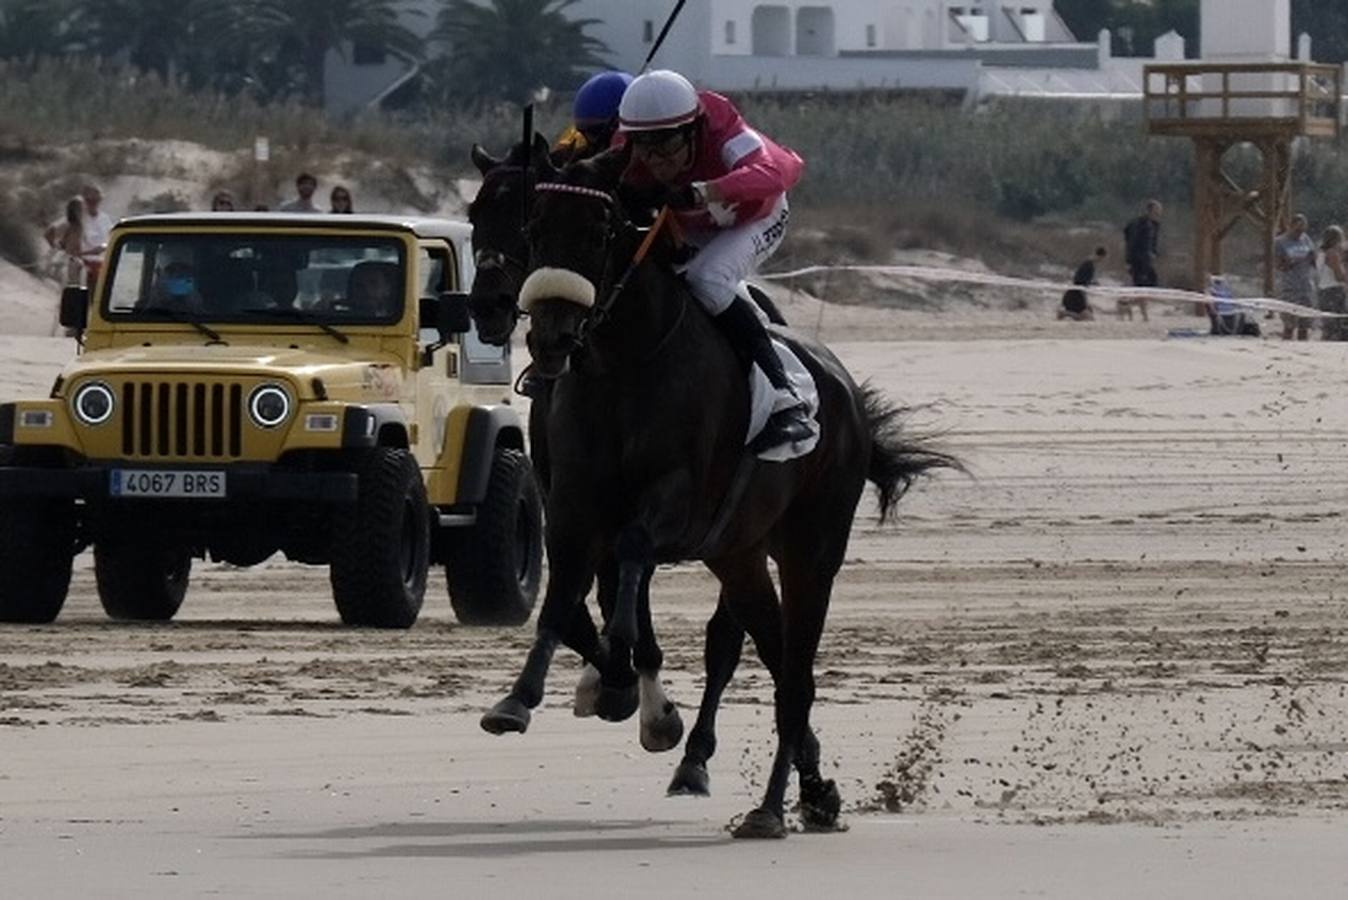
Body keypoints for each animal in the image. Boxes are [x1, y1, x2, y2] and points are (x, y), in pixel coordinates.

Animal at [481, 144, 958, 838]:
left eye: (599, 233)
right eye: (534, 226)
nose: (549, 336)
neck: (623, 365)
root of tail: (843, 386)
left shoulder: (677, 504)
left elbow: (630, 558)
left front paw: (632, 683)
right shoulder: (571, 506)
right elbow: (563, 604)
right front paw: (524, 698)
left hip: (810, 550)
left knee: (791, 672)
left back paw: (768, 805)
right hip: (740, 555)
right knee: (774, 653)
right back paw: (809, 791)